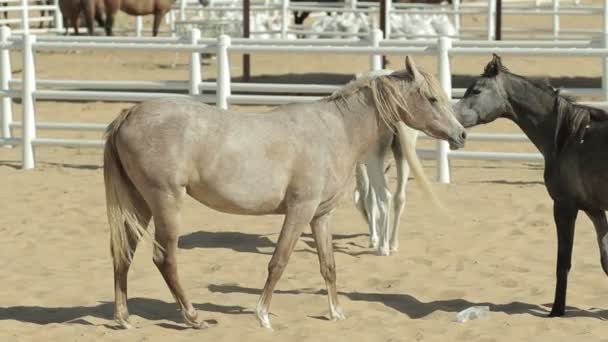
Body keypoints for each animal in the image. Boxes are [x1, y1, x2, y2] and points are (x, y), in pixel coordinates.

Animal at [103, 57, 466, 330]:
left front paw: (336, 313)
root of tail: (129, 114)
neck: (334, 130)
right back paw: (193, 317)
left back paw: (124, 318)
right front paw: (262, 315)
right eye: (432, 98)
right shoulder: (299, 210)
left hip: (140, 204)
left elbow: (328, 265)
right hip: (165, 201)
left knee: (124, 253)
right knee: (164, 258)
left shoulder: (321, 215)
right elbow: (279, 261)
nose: (461, 134)